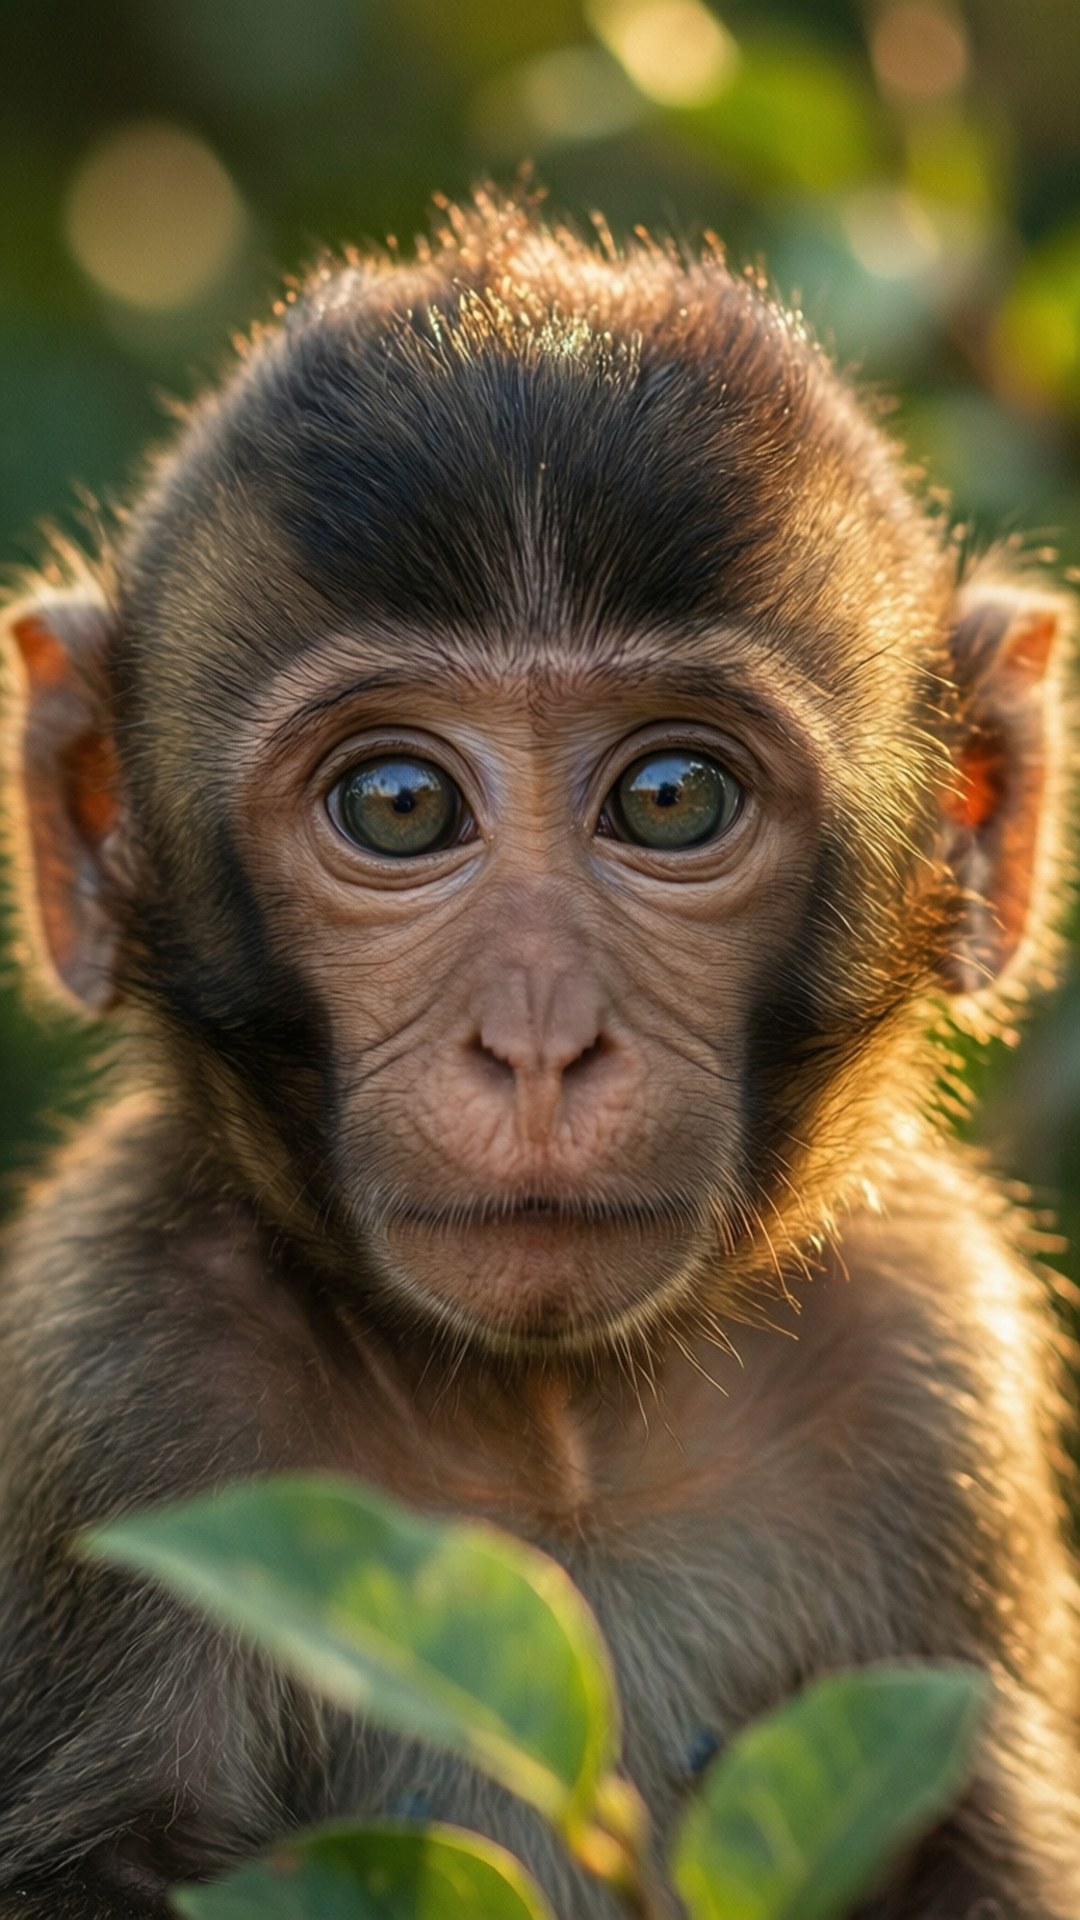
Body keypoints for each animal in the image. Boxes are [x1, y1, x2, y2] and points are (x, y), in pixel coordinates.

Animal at [0, 190, 1077, 1920]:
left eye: (671, 800)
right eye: (397, 806)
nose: (539, 1038)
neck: (551, 1427)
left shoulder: (934, 1352)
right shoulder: (113, 1378)